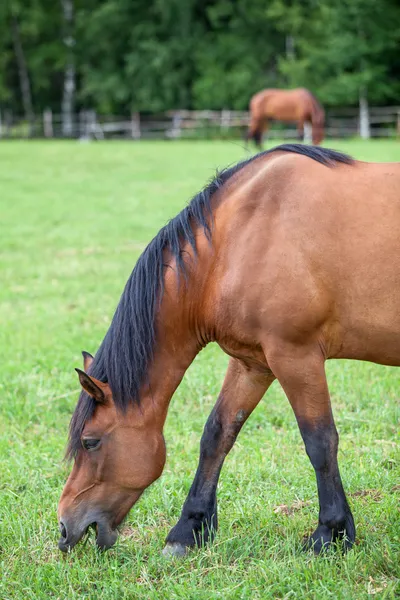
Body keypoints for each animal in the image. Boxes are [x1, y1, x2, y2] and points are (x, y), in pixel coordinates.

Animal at [57, 143, 400, 556]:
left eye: (90, 442)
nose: (64, 528)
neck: (239, 237)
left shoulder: (295, 356)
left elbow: (319, 441)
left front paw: (328, 534)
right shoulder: (254, 362)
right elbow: (217, 435)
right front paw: (188, 530)